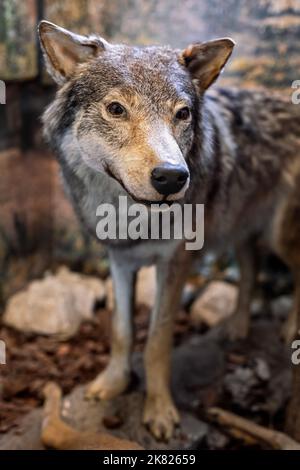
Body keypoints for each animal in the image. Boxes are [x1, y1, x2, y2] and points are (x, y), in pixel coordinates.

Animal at [38, 21, 300, 440]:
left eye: (182, 113)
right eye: (116, 109)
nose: (172, 177)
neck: (130, 216)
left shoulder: (175, 265)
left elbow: (157, 342)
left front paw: (159, 410)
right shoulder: (119, 261)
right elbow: (122, 331)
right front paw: (111, 384)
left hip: (279, 235)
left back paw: (290, 328)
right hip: (240, 228)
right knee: (250, 268)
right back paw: (237, 327)